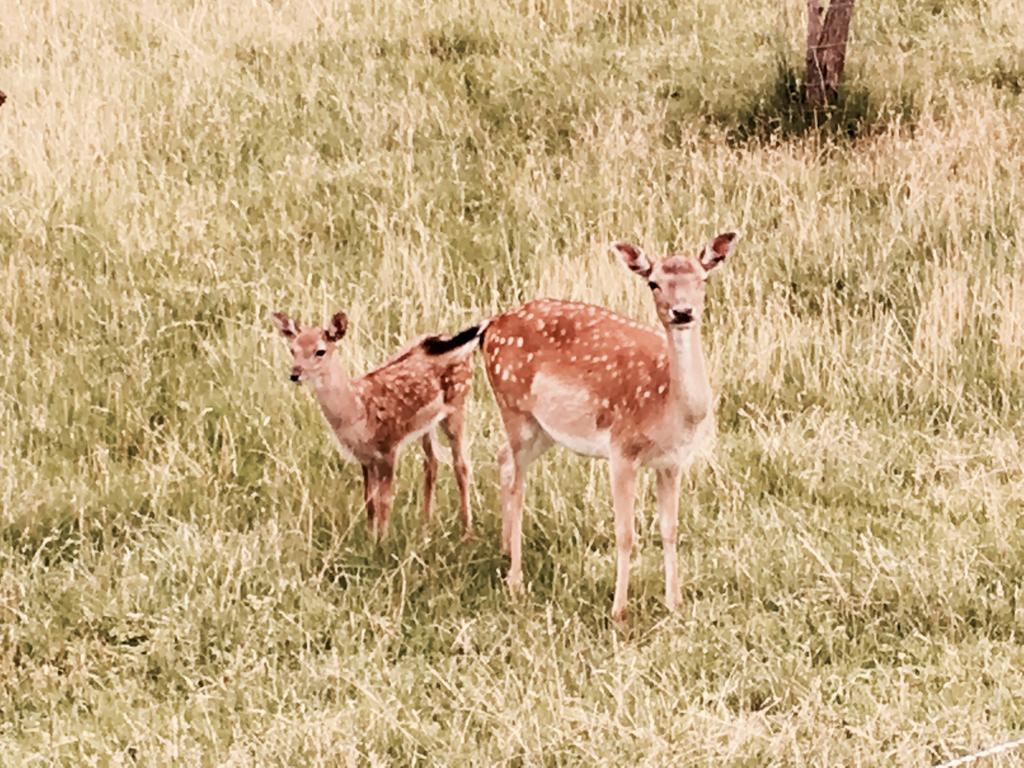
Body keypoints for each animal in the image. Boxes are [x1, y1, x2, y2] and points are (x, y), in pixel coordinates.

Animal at [272, 311, 479, 540]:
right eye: (293, 349)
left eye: (320, 351)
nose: (295, 374)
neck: (357, 412)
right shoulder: (364, 456)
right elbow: (369, 500)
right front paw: (370, 538)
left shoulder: (389, 446)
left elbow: (385, 501)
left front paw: (384, 541)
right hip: (426, 424)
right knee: (431, 462)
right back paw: (426, 526)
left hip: (457, 402)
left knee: (461, 464)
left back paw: (467, 532)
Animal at [423, 233, 737, 618]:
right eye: (653, 282)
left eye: (703, 279)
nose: (682, 312)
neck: (668, 407)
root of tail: (490, 325)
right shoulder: (621, 448)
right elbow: (626, 532)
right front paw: (619, 611)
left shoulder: (673, 461)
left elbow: (670, 528)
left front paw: (674, 604)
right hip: (512, 403)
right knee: (517, 482)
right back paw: (516, 581)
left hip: (544, 426)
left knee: (503, 459)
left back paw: (504, 549)